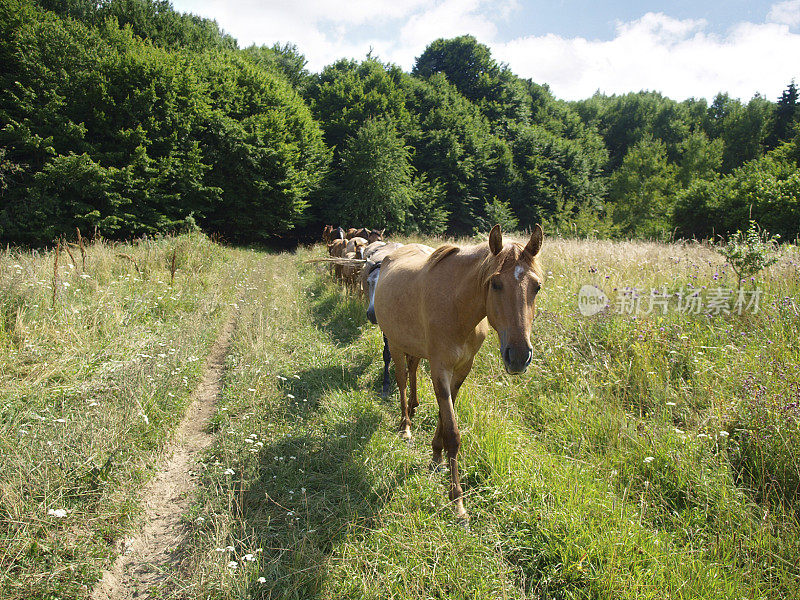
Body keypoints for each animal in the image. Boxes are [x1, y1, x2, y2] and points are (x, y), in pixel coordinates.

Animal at [376, 223, 544, 516]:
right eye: (495, 284)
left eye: (537, 286)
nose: (519, 355)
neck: (457, 307)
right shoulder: (440, 369)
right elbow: (453, 432)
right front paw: (458, 501)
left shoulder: (462, 368)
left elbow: (445, 417)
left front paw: (436, 456)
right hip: (394, 344)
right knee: (401, 381)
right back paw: (405, 424)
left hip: (413, 347)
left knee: (412, 370)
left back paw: (415, 408)